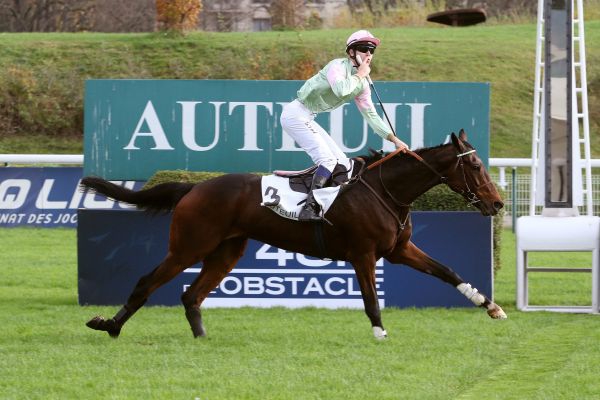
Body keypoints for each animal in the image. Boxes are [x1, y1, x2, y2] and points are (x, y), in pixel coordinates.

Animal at [83, 130, 506, 340]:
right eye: (477, 166)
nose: (498, 203)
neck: (385, 191)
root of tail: (194, 188)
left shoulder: (399, 249)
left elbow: (447, 271)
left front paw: (490, 306)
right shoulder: (363, 254)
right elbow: (371, 299)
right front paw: (380, 333)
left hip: (226, 252)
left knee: (192, 295)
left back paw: (201, 337)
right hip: (189, 245)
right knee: (147, 282)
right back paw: (110, 326)